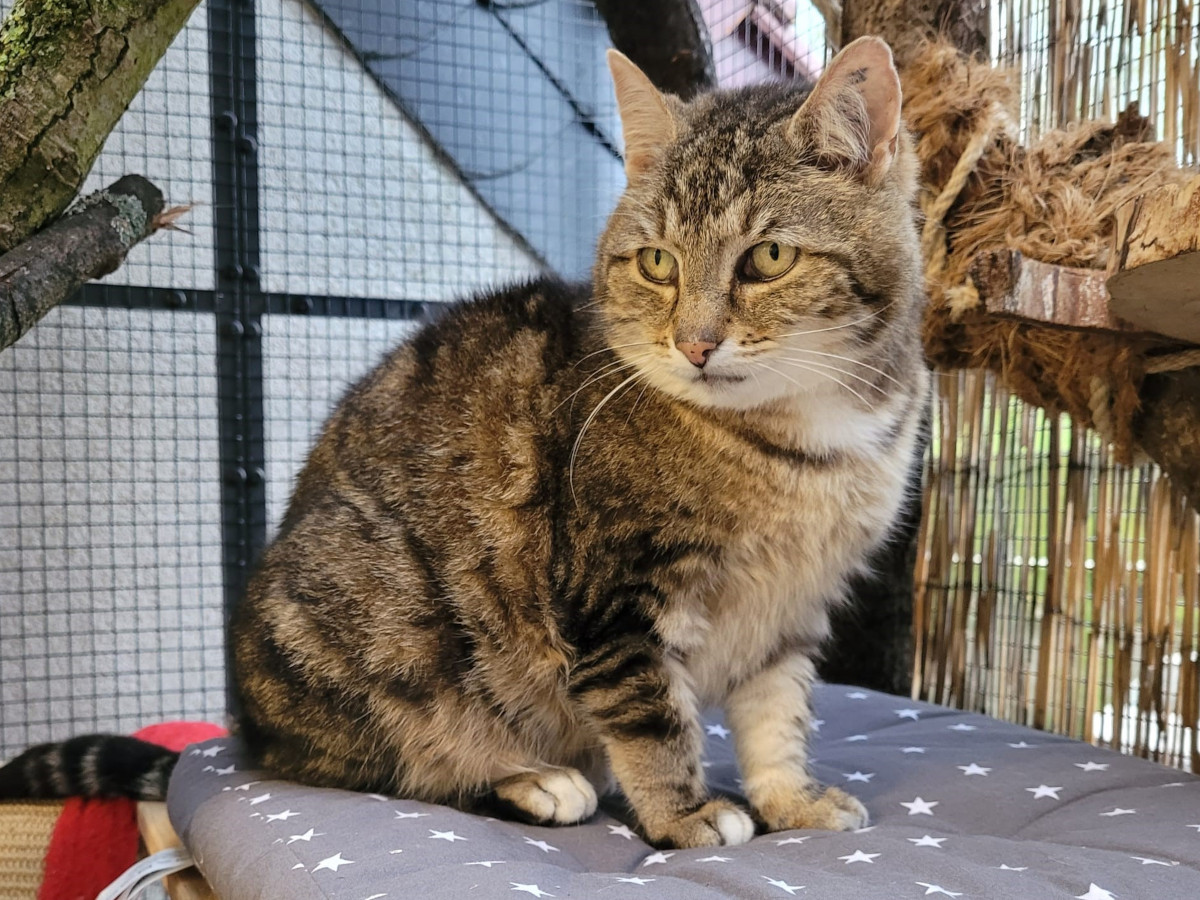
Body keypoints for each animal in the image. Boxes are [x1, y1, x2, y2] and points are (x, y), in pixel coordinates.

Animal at [0, 37, 926, 854]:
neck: (806, 447)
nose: (694, 344)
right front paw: (683, 815)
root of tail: (246, 733)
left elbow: (777, 713)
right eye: (658, 262)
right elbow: (652, 719)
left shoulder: (792, 608)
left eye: (767, 257)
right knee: (386, 766)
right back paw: (531, 779)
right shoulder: (612, 598)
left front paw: (791, 799)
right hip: (387, 636)